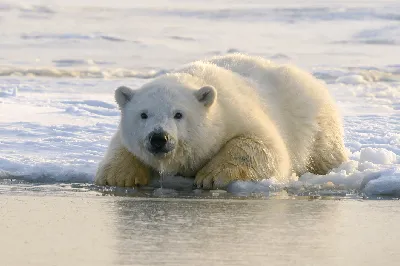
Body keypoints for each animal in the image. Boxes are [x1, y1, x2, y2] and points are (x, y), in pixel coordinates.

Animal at [95, 53, 348, 189]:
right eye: (143, 114)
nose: (159, 138)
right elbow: (121, 146)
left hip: (314, 121)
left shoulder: (236, 113)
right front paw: (119, 177)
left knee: (325, 152)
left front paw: (210, 177)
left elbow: (263, 146)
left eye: (178, 114)